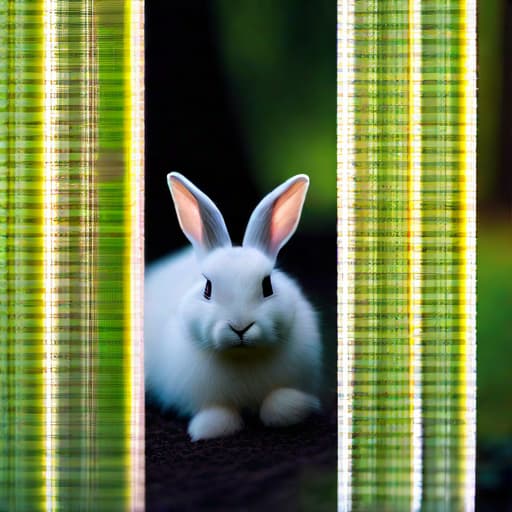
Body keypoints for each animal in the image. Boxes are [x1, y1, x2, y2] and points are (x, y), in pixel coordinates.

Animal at [144, 172, 322, 440]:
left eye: (267, 286)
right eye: (207, 288)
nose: (240, 327)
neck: (242, 356)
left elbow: (278, 402)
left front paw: (290, 411)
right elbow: (218, 412)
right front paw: (210, 428)